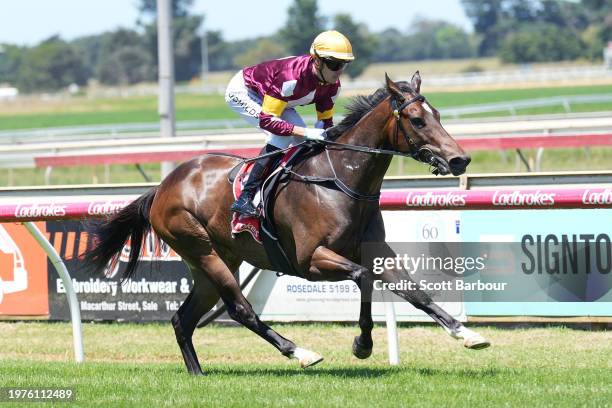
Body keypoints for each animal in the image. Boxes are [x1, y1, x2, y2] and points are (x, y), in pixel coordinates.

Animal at [85, 72, 488, 372]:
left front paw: (466, 334)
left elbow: (415, 291)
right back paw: (300, 352)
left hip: (216, 260)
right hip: (202, 250)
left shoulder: (378, 253)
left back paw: (197, 374)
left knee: (182, 319)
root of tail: (162, 186)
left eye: (438, 114)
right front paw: (362, 344)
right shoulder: (310, 260)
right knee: (240, 309)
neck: (342, 179)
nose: (460, 160)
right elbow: (363, 278)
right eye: (417, 120)